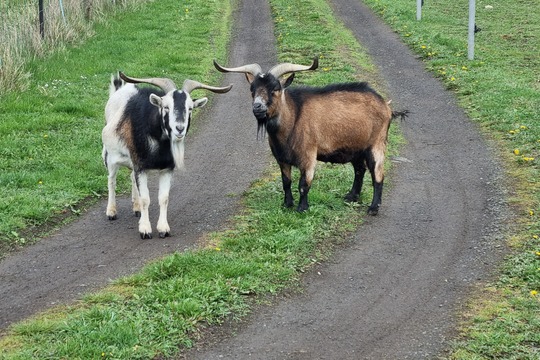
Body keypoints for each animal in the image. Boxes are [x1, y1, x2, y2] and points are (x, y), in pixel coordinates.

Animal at [103, 71, 232, 238]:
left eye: (190, 108)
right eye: (165, 107)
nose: (179, 128)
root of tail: (120, 91)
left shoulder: (166, 169)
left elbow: (163, 198)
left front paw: (163, 228)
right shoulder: (141, 167)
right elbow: (146, 198)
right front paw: (145, 229)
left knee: (131, 178)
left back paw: (136, 208)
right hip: (111, 156)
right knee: (111, 180)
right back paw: (111, 211)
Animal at [213, 56, 408, 214]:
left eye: (275, 88)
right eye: (252, 89)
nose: (257, 107)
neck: (292, 118)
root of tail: (386, 106)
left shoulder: (308, 155)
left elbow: (303, 184)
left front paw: (302, 208)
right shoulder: (281, 158)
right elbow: (286, 182)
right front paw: (287, 204)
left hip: (376, 144)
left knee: (378, 174)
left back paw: (373, 208)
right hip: (356, 148)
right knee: (360, 170)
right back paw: (351, 197)